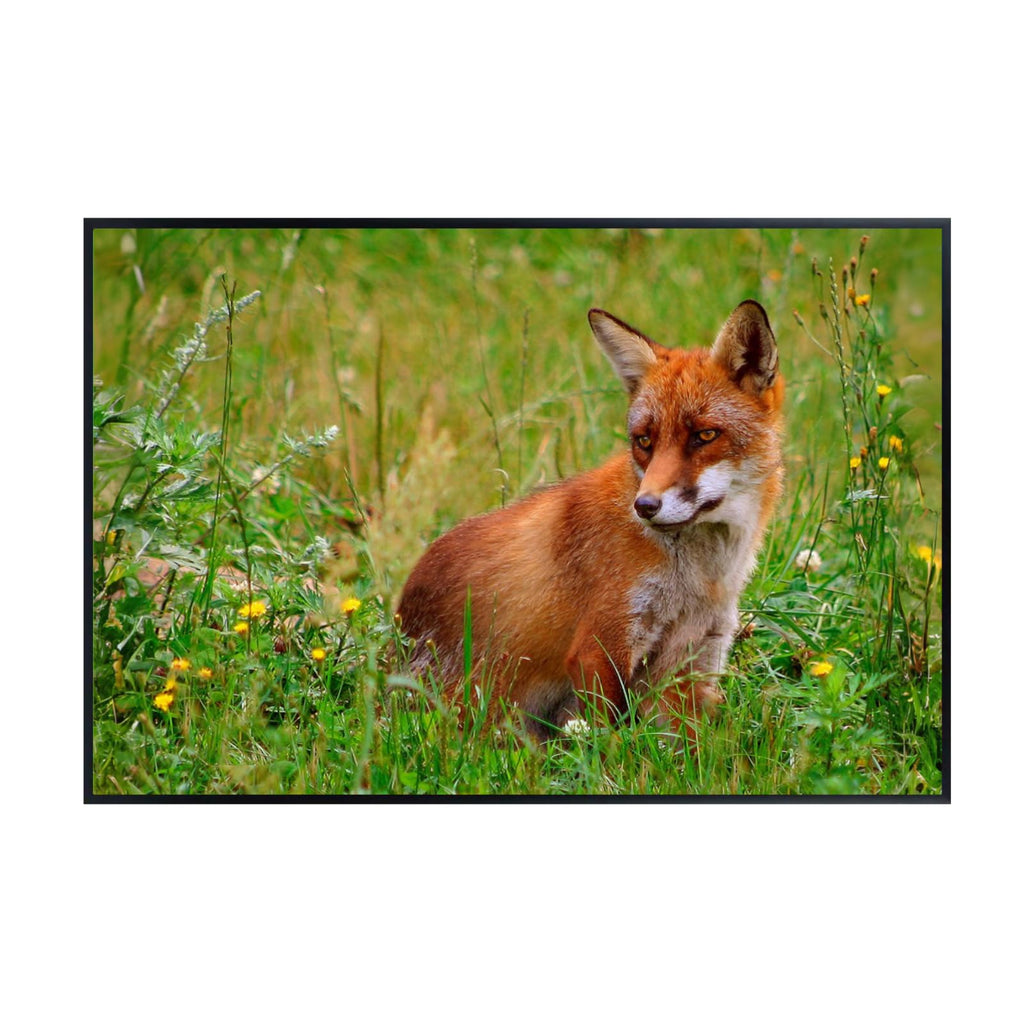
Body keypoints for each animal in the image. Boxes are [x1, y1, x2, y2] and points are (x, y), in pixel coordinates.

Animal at [396, 299, 784, 743]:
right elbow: (608, 742)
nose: (644, 506)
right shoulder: (601, 644)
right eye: (644, 441)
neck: (698, 577)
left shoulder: (694, 655)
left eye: (704, 436)